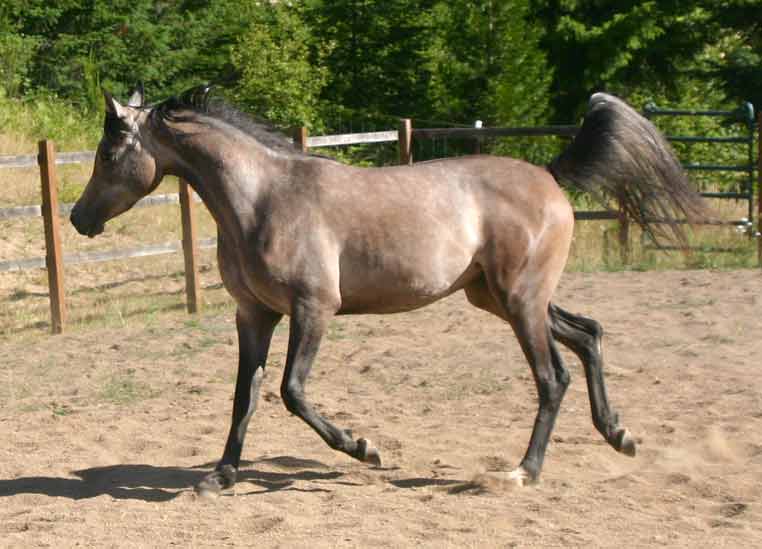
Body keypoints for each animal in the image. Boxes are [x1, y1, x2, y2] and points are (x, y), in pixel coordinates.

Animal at [70, 84, 706, 496]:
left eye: (108, 152)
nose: (78, 218)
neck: (261, 199)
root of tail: (549, 176)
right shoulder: (254, 315)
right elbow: (243, 397)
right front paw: (219, 477)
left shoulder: (314, 309)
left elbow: (292, 392)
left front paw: (364, 447)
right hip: (498, 297)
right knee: (589, 335)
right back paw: (619, 435)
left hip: (520, 301)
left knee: (553, 377)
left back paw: (522, 472)